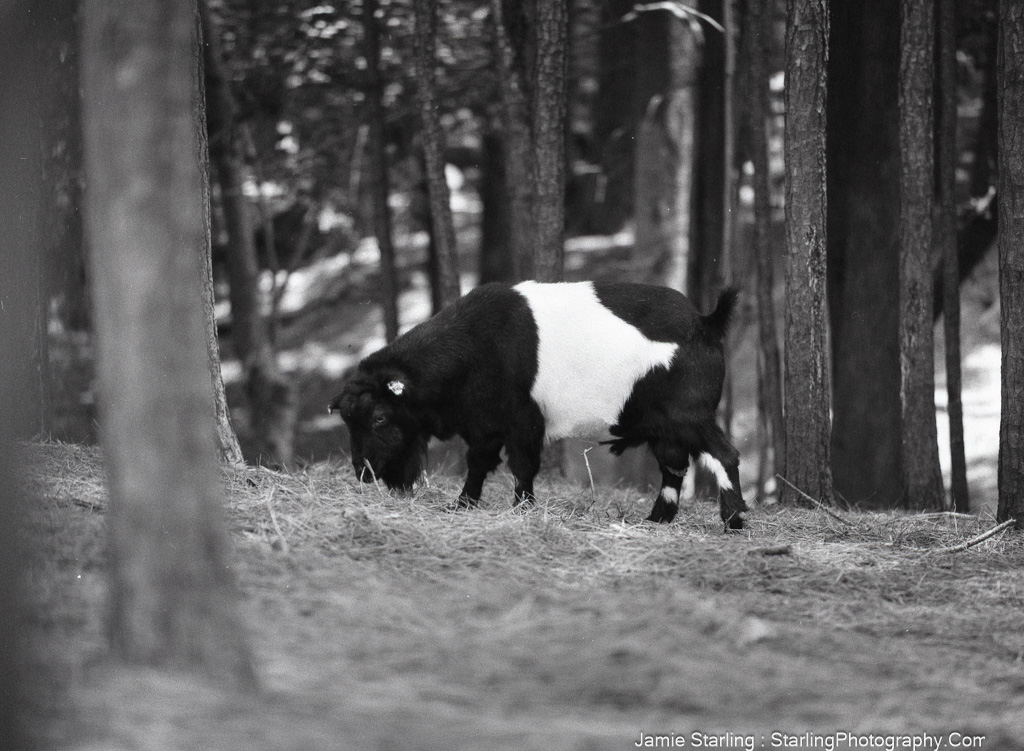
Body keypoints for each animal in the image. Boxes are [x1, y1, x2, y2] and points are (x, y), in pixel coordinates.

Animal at [327, 280, 745, 528]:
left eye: (380, 417)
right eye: (347, 420)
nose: (363, 471)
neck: (474, 345)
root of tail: (705, 322)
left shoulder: (522, 421)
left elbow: (522, 466)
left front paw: (522, 509)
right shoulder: (485, 424)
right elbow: (478, 464)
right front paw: (463, 506)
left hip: (690, 415)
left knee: (725, 455)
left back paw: (734, 521)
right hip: (665, 427)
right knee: (674, 467)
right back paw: (656, 520)